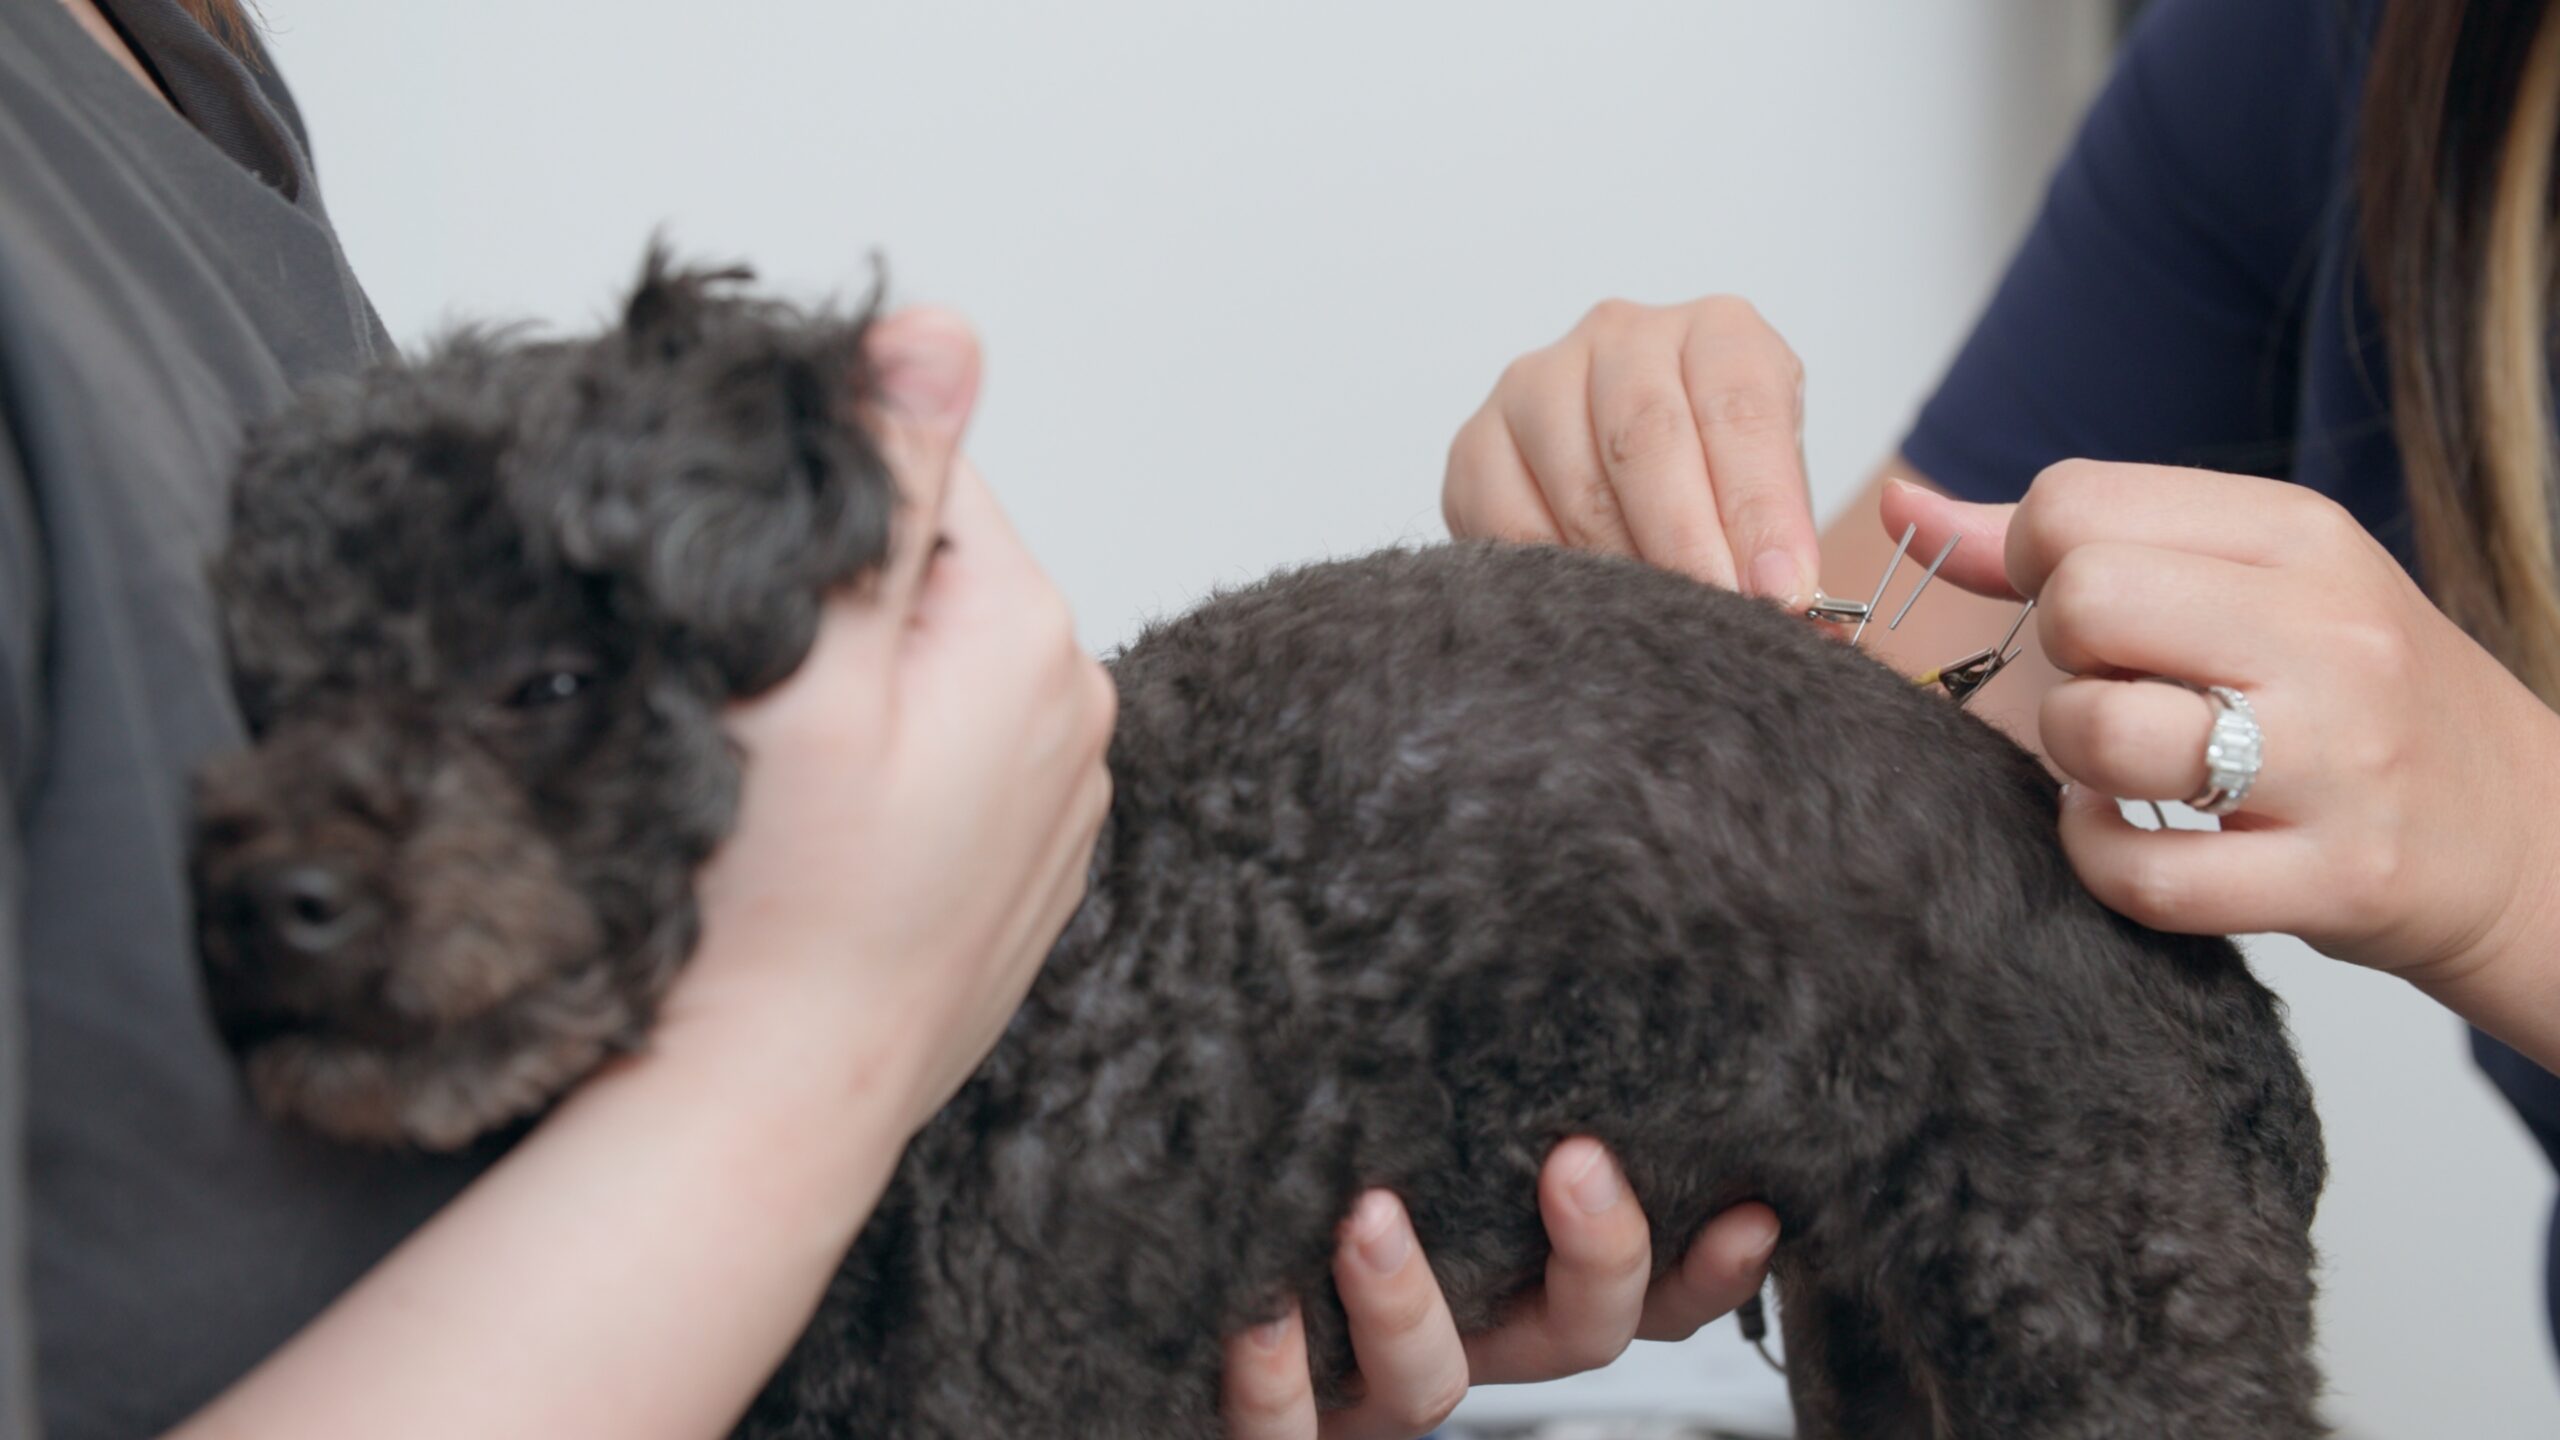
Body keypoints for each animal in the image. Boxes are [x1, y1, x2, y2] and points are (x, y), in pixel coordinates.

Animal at [189, 257, 2334, 1434]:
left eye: (551, 680)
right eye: (269, 685)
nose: (265, 911)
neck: (1028, 1008)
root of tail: (2209, 993)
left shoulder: (1018, 1391)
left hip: (2114, 1326)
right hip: (1890, 1352)